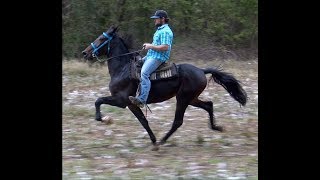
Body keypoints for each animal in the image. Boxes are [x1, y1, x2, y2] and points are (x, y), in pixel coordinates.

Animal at [81, 25, 246, 149]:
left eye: (102, 38)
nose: (85, 53)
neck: (122, 69)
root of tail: (201, 70)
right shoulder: (131, 104)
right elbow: (143, 121)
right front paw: (153, 140)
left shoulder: (122, 101)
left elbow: (98, 100)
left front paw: (104, 119)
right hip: (191, 98)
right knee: (209, 105)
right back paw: (216, 127)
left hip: (183, 99)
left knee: (178, 121)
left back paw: (163, 140)